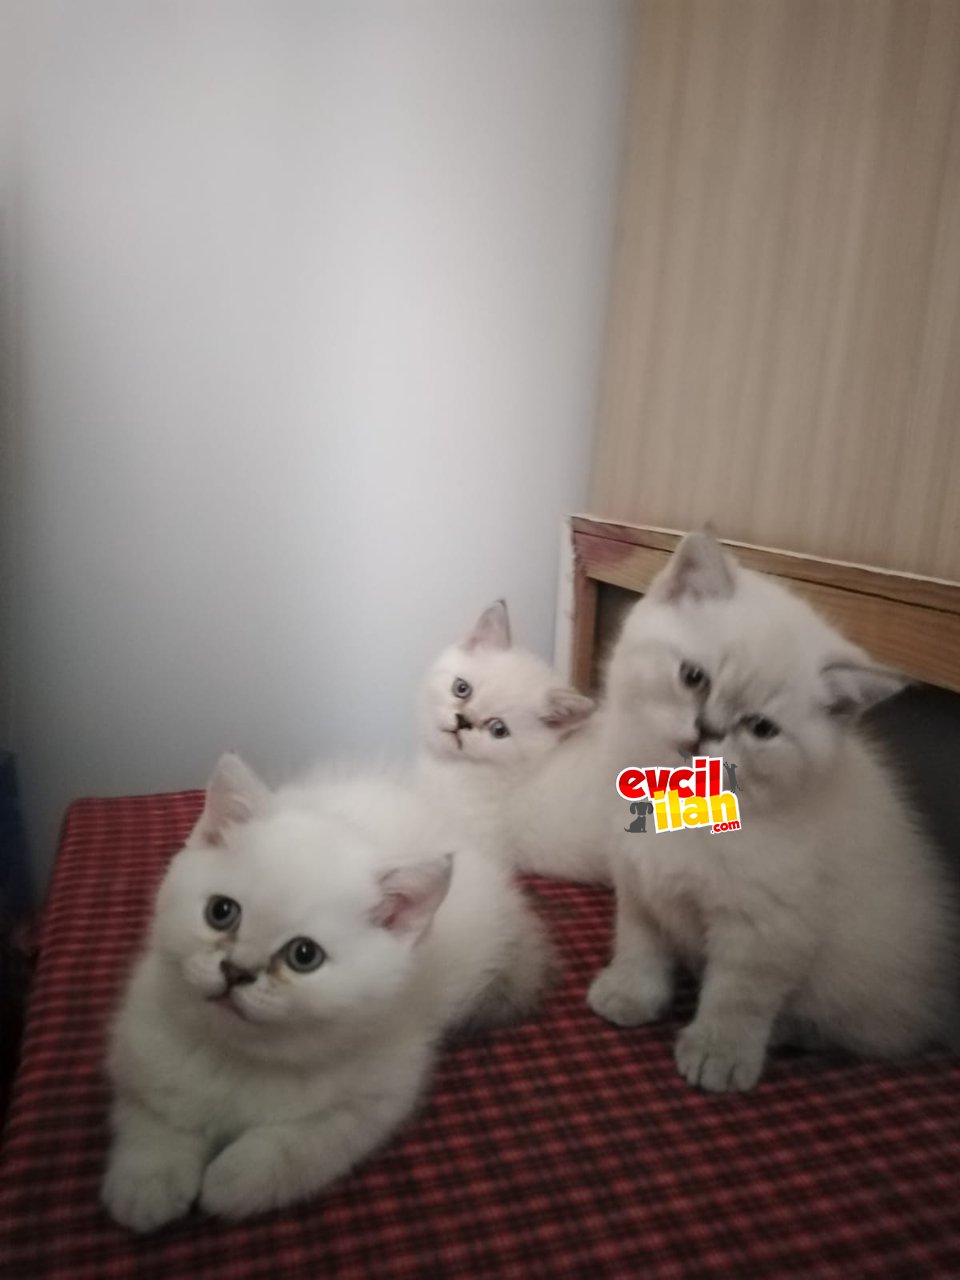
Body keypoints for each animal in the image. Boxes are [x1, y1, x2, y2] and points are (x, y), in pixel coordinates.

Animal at [102, 753, 552, 1230]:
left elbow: (296, 1147)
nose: (236, 971)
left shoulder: (374, 1099)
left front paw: (234, 1181)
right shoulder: (141, 1047)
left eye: (304, 955)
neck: (238, 1056)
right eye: (221, 912)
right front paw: (145, 1183)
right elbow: (152, 1115)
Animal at [588, 531, 958, 1091]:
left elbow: (737, 1000)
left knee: (865, 1034)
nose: (706, 732)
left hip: (853, 980)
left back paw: (786, 1032)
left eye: (760, 729)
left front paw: (718, 1057)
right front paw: (629, 996)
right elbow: (639, 948)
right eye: (693, 678)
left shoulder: (764, 927)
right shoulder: (639, 886)